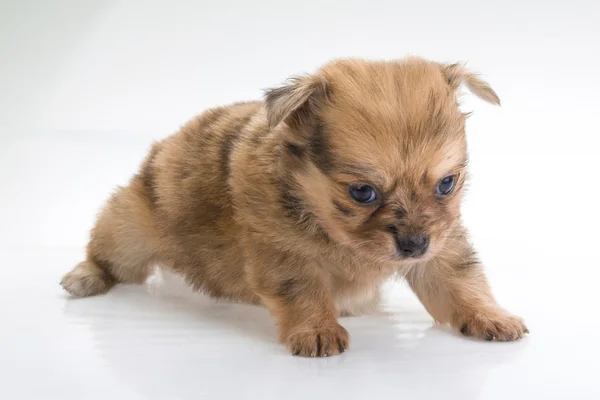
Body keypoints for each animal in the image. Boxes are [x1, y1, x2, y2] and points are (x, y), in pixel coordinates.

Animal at [62, 55, 528, 356]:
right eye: (363, 192)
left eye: (446, 184)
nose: (413, 245)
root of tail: (161, 150)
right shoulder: (282, 253)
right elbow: (302, 291)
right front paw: (317, 330)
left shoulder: (441, 247)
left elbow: (462, 283)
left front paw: (491, 317)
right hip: (129, 227)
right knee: (108, 255)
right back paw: (85, 276)